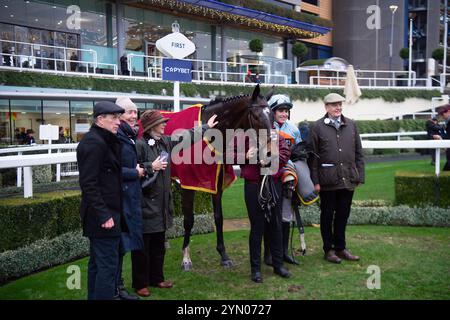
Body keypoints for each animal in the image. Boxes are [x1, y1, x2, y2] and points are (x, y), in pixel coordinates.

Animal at [163, 84, 272, 270]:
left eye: (271, 114)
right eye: (256, 116)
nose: (270, 151)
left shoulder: (217, 182)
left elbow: (218, 217)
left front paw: (223, 255)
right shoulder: (188, 185)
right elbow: (188, 220)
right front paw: (186, 258)